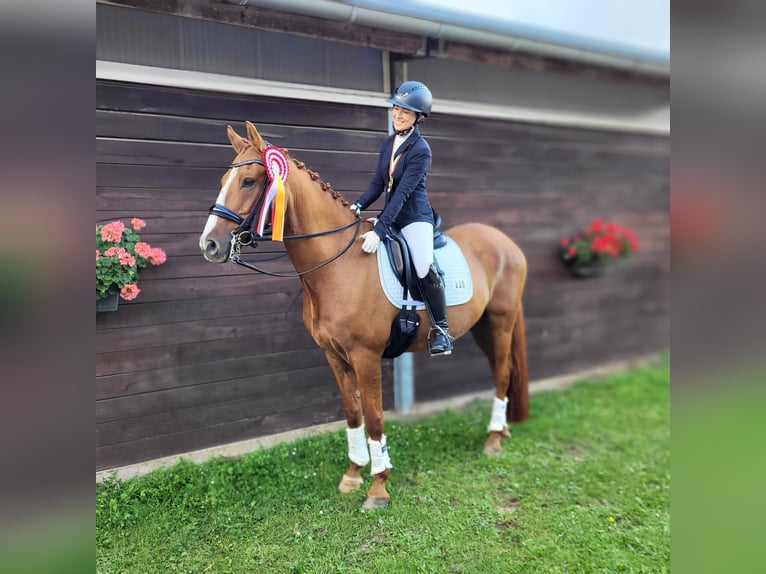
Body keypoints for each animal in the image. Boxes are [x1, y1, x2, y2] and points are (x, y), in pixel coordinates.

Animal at [201, 121, 532, 508]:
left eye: (249, 181)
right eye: (224, 178)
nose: (209, 245)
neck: (338, 265)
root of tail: (504, 242)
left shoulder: (366, 356)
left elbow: (374, 417)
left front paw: (378, 486)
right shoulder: (334, 356)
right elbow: (353, 415)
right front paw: (353, 474)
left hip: (501, 321)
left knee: (503, 372)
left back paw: (492, 440)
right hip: (483, 327)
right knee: (500, 371)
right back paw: (502, 431)